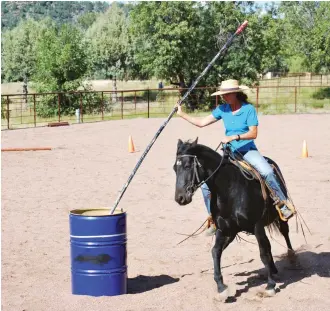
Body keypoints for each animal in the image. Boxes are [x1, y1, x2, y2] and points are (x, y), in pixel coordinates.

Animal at [173, 139, 294, 300]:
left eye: (187, 166)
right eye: (175, 168)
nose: (180, 198)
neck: (230, 190)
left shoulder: (257, 226)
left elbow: (263, 253)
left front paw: (270, 286)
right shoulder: (226, 230)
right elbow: (215, 251)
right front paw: (221, 287)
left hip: (280, 216)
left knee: (285, 233)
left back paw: (293, 259)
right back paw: (273, 269)